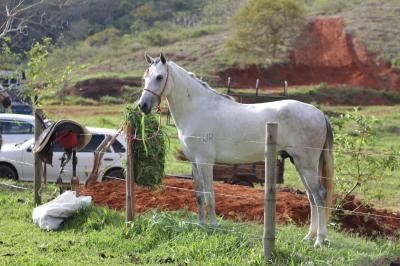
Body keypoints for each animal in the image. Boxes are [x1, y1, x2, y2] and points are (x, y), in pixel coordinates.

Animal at [139, 52, 332, 247]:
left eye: (159, 77)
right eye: (145, 77)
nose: (143, 106)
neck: (197, 109)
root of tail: (320, 113)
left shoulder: (205, 162)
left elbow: (210, 195)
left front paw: (213, 227)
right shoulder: (194, 162)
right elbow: (199, 196)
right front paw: (201, 225)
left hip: (306, 164)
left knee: (319, 195)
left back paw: (319, 240)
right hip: (299, 163)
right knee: (311, 196)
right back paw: (309, 236)